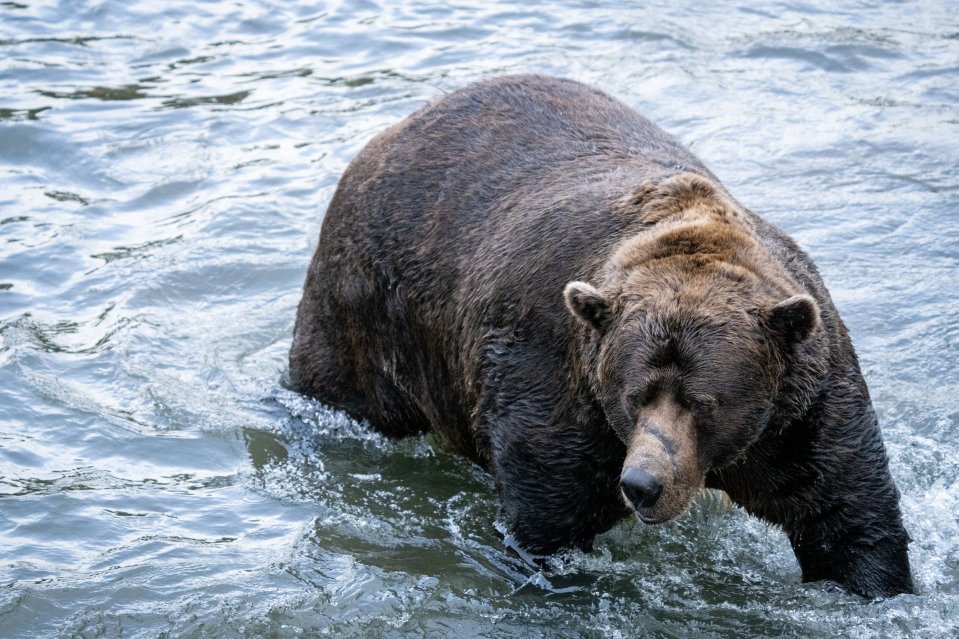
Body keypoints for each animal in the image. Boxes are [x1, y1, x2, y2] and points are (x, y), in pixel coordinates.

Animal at [289, 75, 914, 598]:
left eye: (704, 403)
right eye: (634, 396)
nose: (642, 484)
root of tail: (402, 125)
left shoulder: (800, 409)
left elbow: (846, 516)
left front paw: (874, 587)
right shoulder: (555, 379)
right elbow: (547, 518)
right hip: (365, 309)